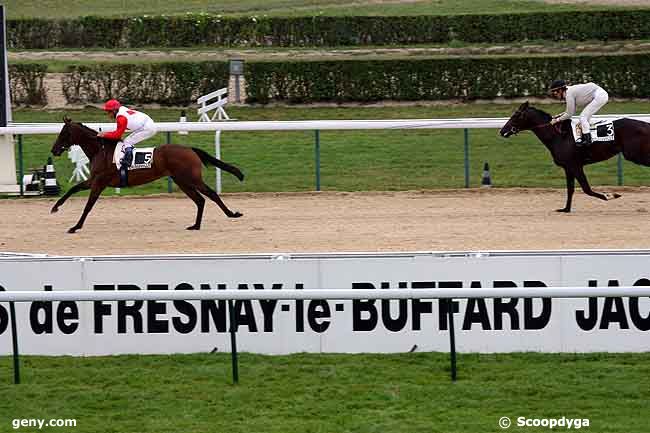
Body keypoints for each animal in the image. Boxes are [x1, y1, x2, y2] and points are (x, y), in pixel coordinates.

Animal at [50, 116, 243, 233]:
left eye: (64, 133)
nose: (54, 150)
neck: (101, 150)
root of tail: (190, 149)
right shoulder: (93, 180)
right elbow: (73, 189)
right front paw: (55, 207)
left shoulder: (100, 182)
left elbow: (88, 206)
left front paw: (75, 226)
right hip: (181, 181)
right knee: (200, 200)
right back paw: (195, 225)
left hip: (191, 178)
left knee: (211, 194)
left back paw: (231, 214)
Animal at [496, 100, 648, 210]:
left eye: (516, 115)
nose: (502, 131)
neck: (558, 136)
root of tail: (646, 125)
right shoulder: (568, 167)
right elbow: (570, 189)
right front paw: (566, 209)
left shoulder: (575, 165)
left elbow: (587, 189)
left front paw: (611, 195)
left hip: (634, 154)